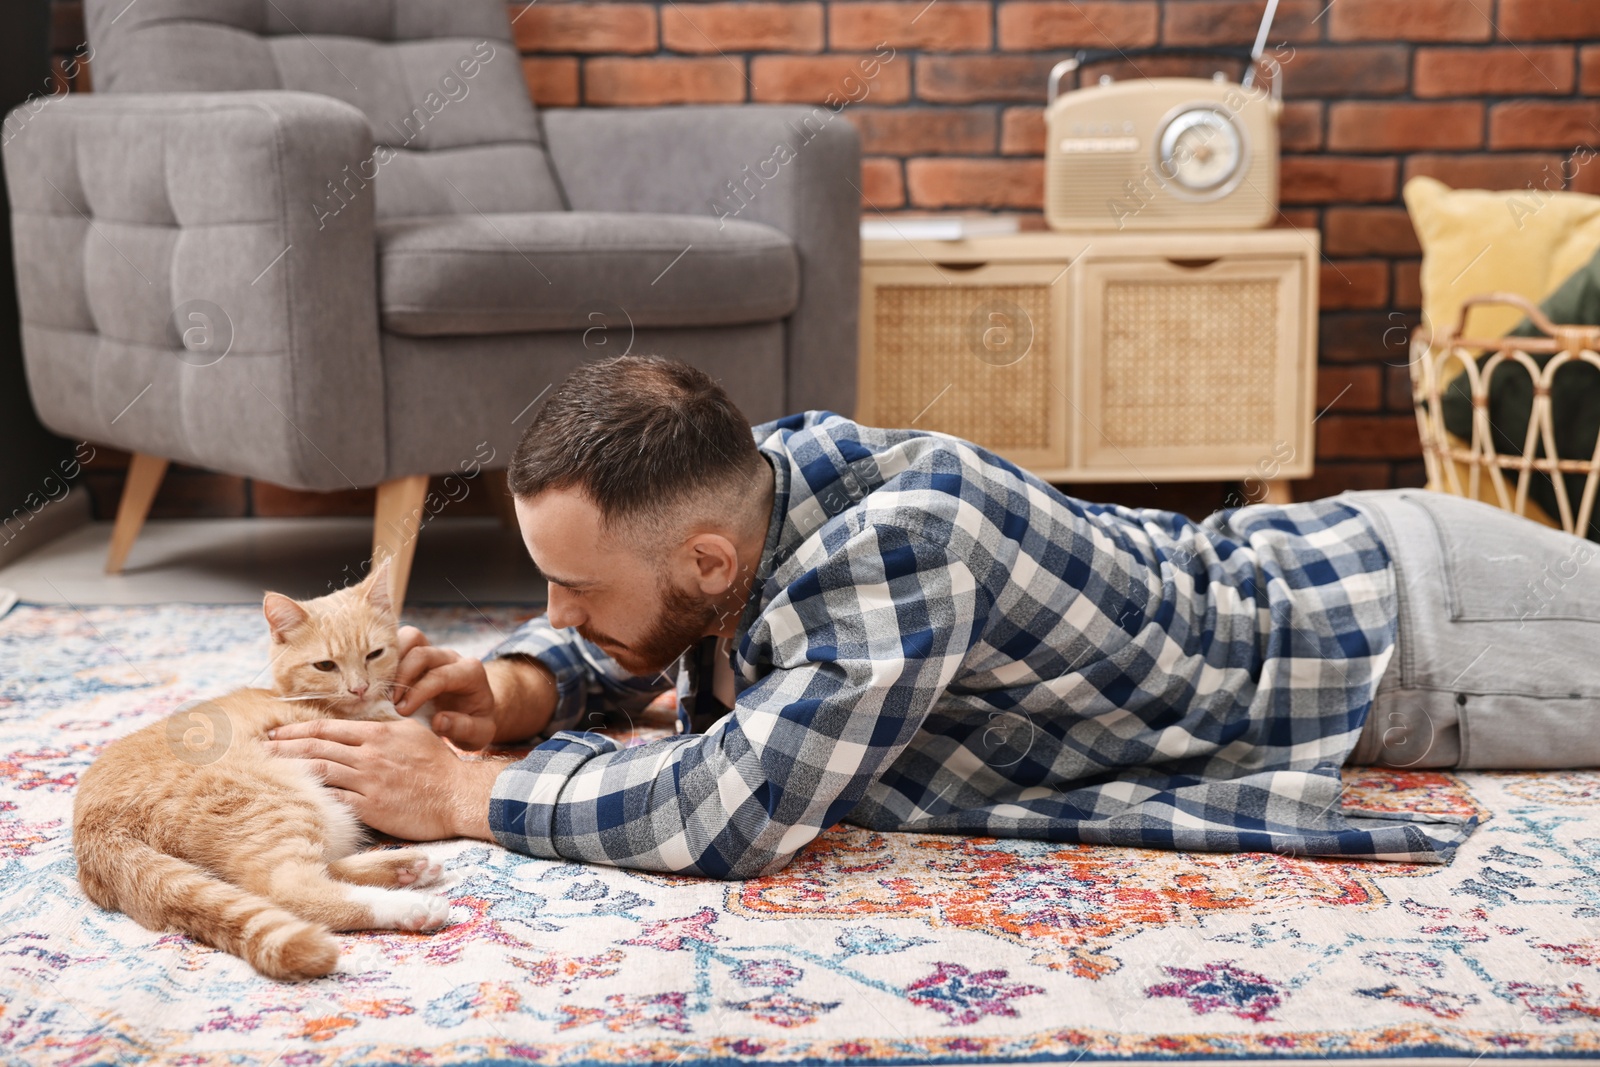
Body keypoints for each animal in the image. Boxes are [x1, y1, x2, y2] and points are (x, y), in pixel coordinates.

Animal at [73, 559, 451, 985]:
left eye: (375, 653)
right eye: (325, 665)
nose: (359, 688)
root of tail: (93, 825)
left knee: (302, 870)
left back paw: (407, 868)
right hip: (280, 801)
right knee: (288, 889)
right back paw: (411, 905)